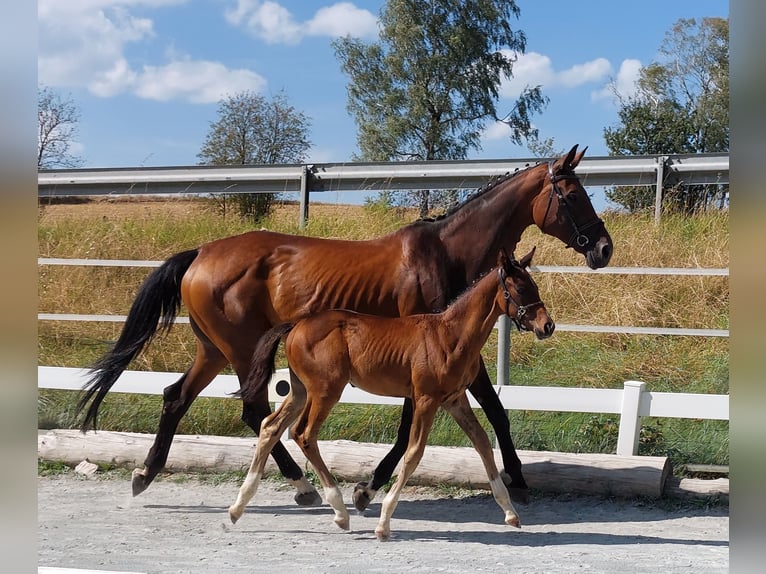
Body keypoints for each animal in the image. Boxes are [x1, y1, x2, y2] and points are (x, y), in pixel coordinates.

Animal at [231, 250, 556, 544]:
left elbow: (482, 443)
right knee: (304, 434)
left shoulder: (454, 399)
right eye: (521, 288)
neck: (449, 335)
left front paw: (510, 513)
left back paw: (237, 508)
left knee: (271, 426)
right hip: (325, 391)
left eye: (534, 286)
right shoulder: (426, 399)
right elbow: (414, 453)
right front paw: (383, 523)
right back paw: (340, 513)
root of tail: (296, 325)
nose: (547, 326)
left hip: (300, 391)